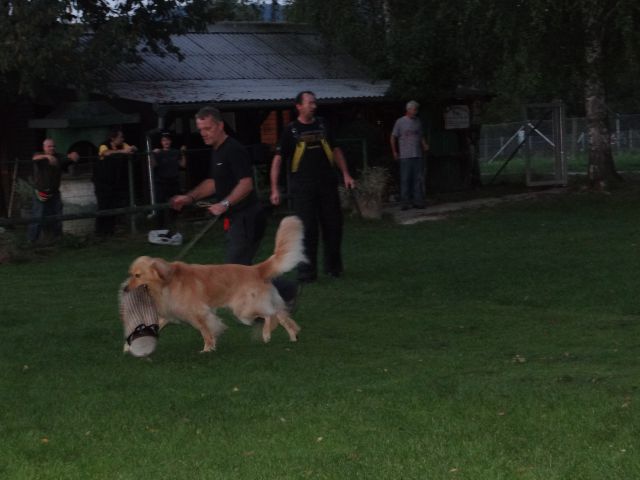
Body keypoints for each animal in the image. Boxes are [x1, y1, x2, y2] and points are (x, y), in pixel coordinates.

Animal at [126, 216, 306, 350]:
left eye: (137, 275)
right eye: (130, 274)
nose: (125, 289)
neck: (167, 282)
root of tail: (256, 269)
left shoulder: (199, 313)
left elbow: (205, 331)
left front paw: (207, 348)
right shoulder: (170, 311)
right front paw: (128, 347)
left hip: (244, 310)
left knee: (269, 315)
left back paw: (266, 334)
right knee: (282, 316)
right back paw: (293, 337)